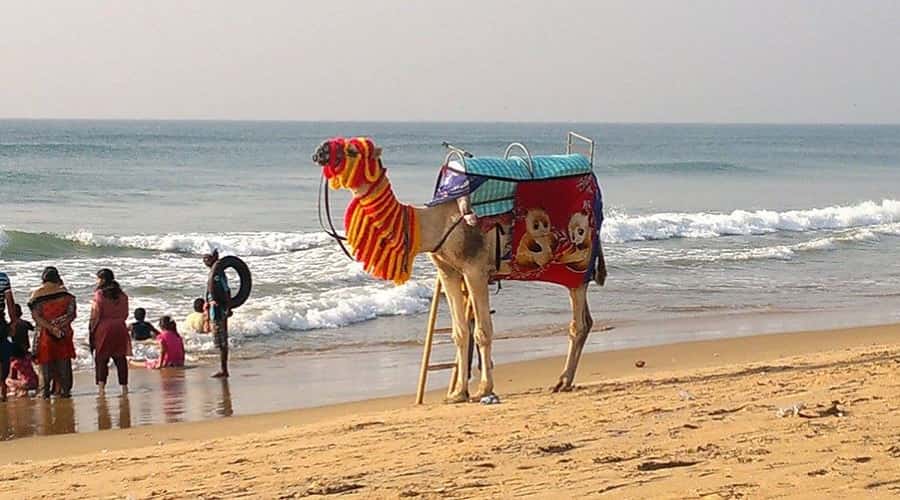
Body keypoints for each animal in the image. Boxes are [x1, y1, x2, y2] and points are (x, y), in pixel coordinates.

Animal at [312, 137, 608, 402]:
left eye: (352, 149)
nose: (319, 151)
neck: (434, 223)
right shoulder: (448, 271)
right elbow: (460, 331)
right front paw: (456, 393)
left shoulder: (475, 269)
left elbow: (483, 330)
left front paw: (484, 389)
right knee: (587, 320)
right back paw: (565, 381)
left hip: (577, 267)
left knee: (578, 323)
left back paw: (562, 380)